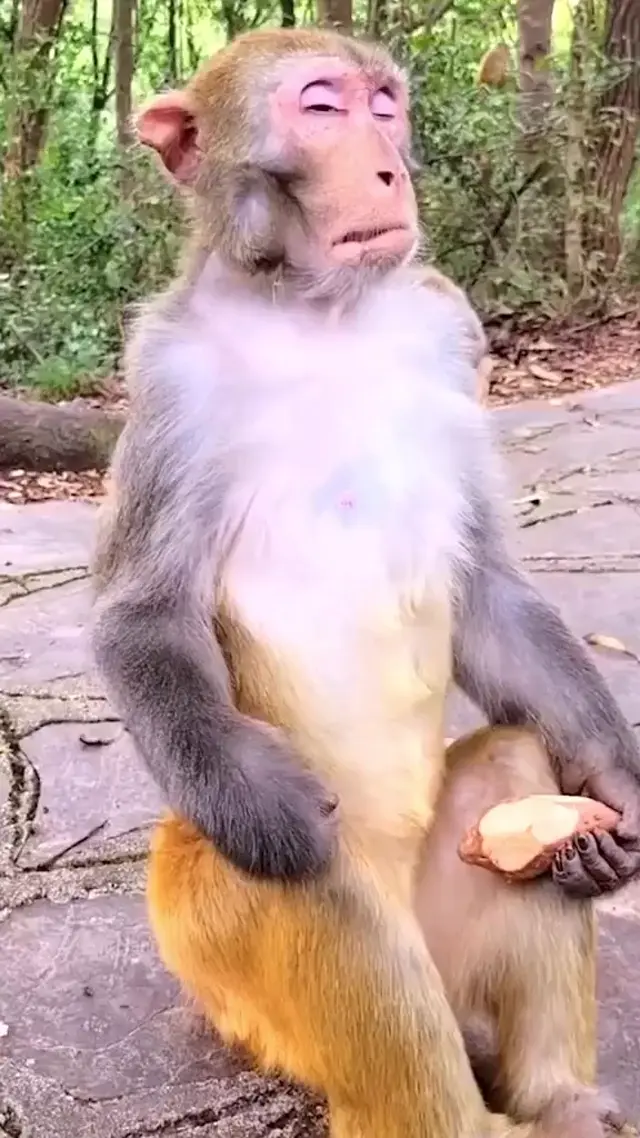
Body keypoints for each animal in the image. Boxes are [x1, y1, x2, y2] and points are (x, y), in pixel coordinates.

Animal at [90, 26, 640, 1138]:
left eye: (384, 105)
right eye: (319, 107)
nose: (388, 167)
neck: (319, 315)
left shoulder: (448, 330)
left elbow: (486, 590)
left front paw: (610, 781)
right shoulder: (166, 374)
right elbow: (143, 616)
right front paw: (266, 804)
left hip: (451, 912)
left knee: (513, 765)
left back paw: (560, 1094)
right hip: (229, 960)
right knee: (327, 884)